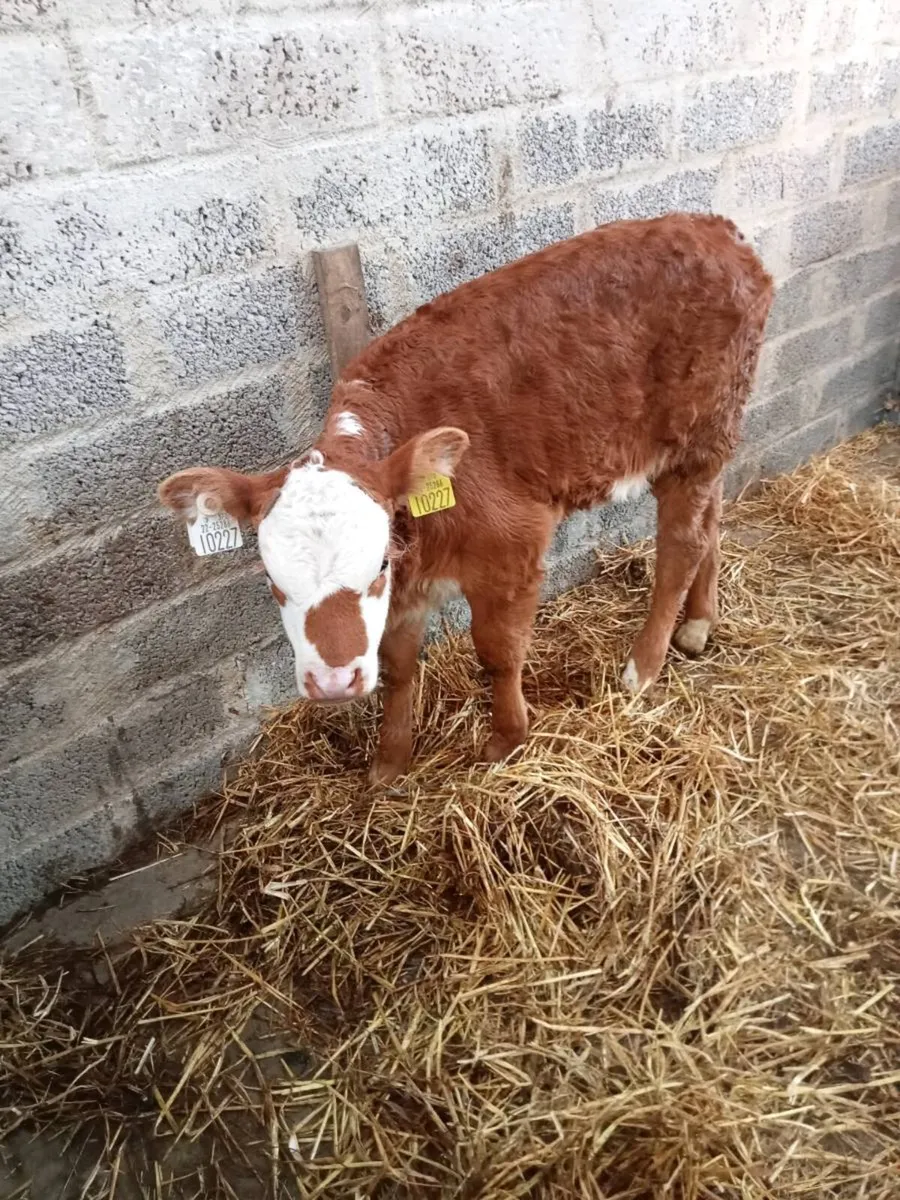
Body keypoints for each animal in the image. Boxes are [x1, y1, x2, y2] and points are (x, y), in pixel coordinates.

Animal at [159, 213, 773, 785]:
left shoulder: (512, 547)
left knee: (681, 544)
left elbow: (497, 651)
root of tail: (717, 229)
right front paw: (390, 761)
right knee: (711, 518)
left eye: (376, 566)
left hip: (695, 436)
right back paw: (698, 624)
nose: (333, 683)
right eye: (272, 579)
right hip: (710, 438)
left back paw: (642, 668)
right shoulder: (409, 582)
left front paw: (506, 739)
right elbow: (397, 666)